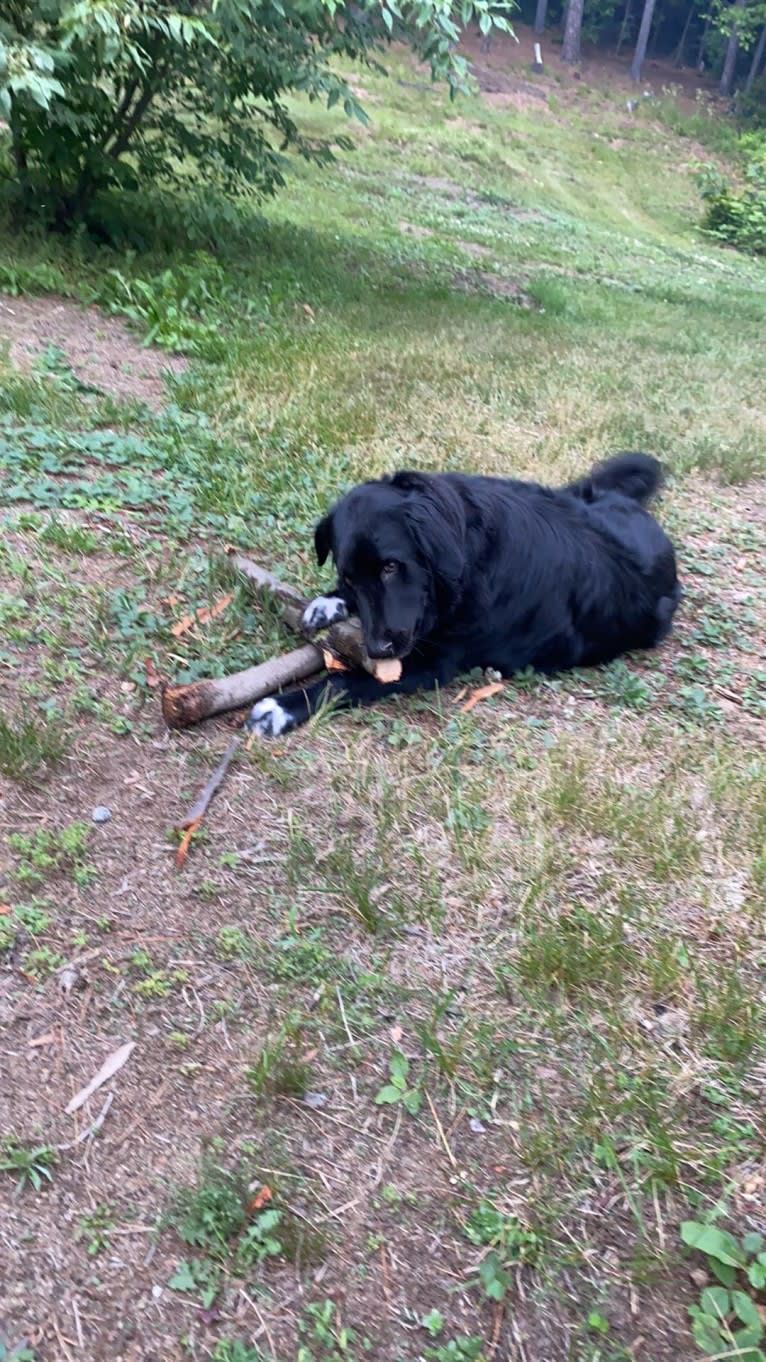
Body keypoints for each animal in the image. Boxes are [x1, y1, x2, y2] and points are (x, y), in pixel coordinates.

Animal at [248, 454, 676, 735]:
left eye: (391, 567)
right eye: (350, 579)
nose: (378, 650)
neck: (467, 557)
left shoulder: (431, 665)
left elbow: (343, 682)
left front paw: (280, 708)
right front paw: (327, 602)